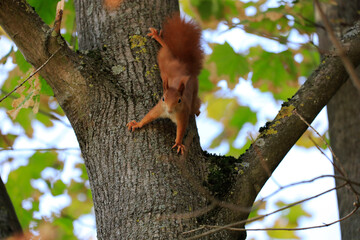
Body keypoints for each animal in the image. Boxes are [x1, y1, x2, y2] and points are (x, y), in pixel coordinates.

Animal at [127, 13, 204, 155]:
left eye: (179, 100)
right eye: (163, 98)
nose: (169, 110)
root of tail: (184, 65)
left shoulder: (183, 114)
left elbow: (181, 130)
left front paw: (178, 143)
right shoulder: (159, 107)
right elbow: (149, 116)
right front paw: (137, 124)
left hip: (193, 89)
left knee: (195, 102)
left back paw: (196, 110)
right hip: (167, 55)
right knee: (165, 46)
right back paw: (157, 36)